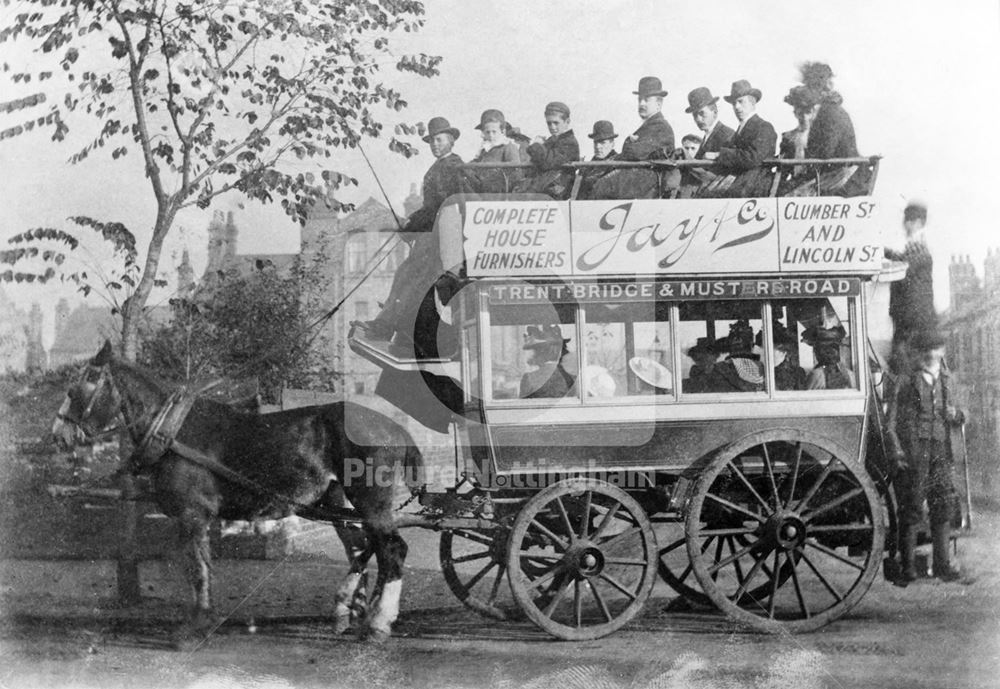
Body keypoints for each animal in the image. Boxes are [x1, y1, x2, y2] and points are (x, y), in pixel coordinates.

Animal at [50, 342, 422, 644]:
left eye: (80, 384)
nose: (58, 435)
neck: (171, 431)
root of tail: (394, 427)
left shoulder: (193, 514)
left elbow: (197, 569)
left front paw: (196, 627)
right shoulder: (197, 518)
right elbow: (201, 565)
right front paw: (204, 620)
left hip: (369, 499)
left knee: (392, 549)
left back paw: (378, 623)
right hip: (334, 499)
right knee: (362, 546)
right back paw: (352, 611)